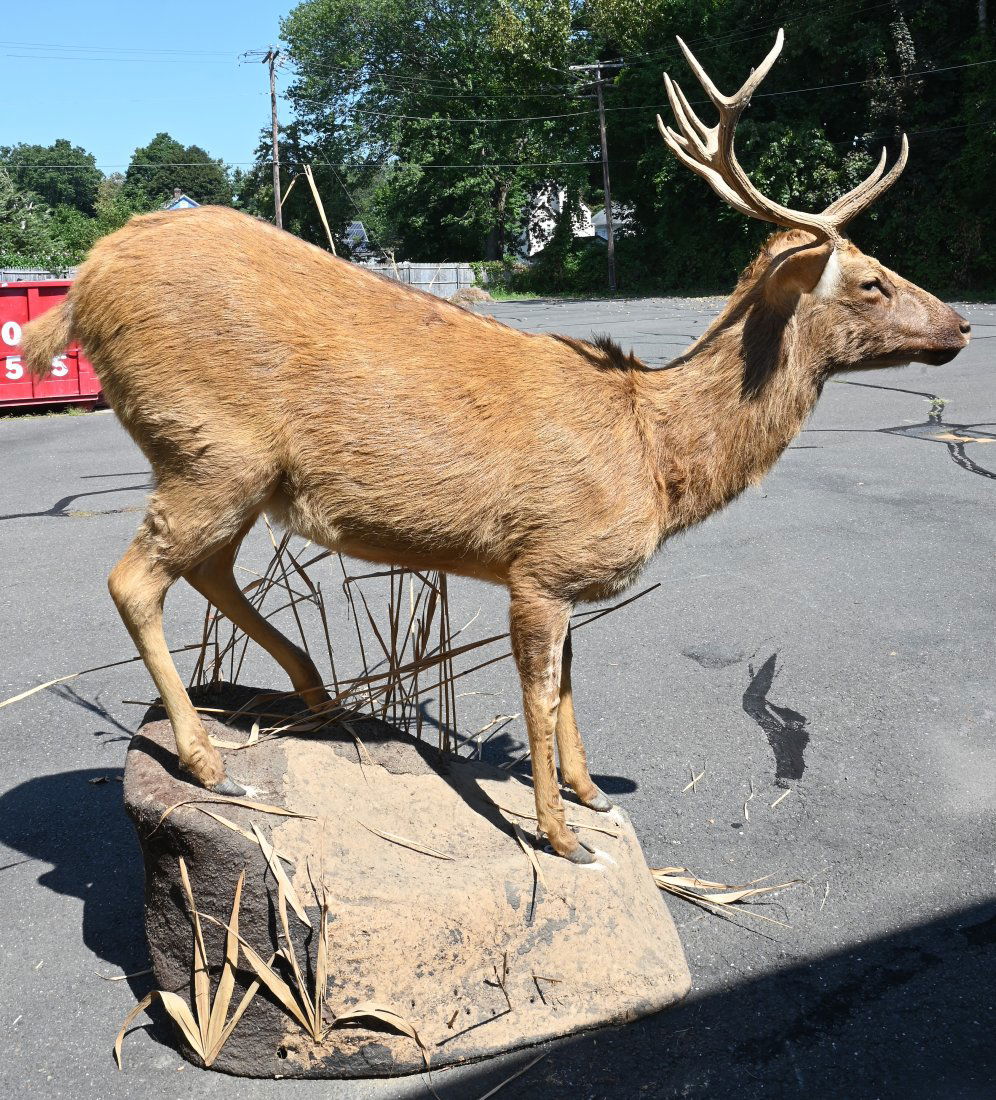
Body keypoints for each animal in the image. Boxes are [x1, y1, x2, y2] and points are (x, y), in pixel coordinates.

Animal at [21, 31, 969, 865]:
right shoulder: (542, 563)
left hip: (235, 472)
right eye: (872, 281)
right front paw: (560, 834)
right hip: (209, 445)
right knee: (135, 578)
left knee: (208, 569)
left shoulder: (565, 574)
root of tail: (86, 280)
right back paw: (210, 760)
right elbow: (541, 695)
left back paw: (317, 693)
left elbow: (573, 685)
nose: (960, 323)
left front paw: (589, 793)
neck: (653, 453)